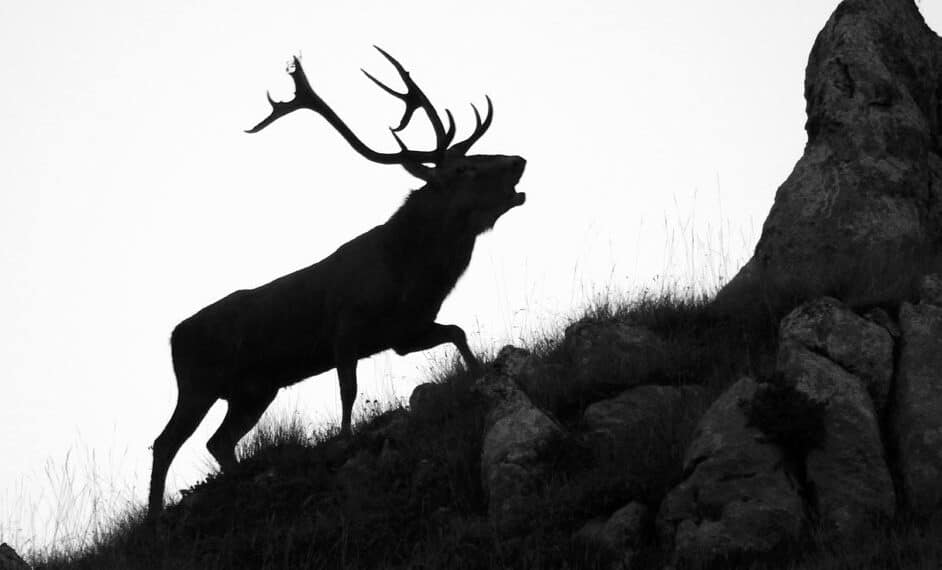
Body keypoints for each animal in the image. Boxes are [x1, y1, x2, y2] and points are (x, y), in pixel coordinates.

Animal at [148, 47, 526, 519]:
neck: (409, 275)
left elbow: (456, 332)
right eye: (464, 169)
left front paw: (479, 374)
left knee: (218, 442)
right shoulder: (346, 329)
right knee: (165, 442)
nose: (518, 162)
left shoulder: (405, 332)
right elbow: (348, 390)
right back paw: (154, 515)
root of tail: (173, 337)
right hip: (197, 384)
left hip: (254, 391)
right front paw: (347, 438)